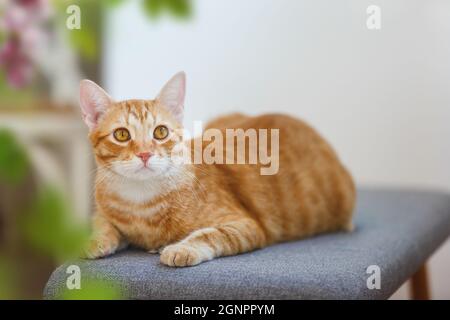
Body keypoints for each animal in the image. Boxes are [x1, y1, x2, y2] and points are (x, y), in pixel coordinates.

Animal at [80, 72, 356, 268]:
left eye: (160, 132)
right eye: (121, 135)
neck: (140, 203)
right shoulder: (105, 212)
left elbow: (209, 235)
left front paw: (181, 248)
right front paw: (93, 239)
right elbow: (102, 223)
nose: (145, 154)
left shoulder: (246, 225)